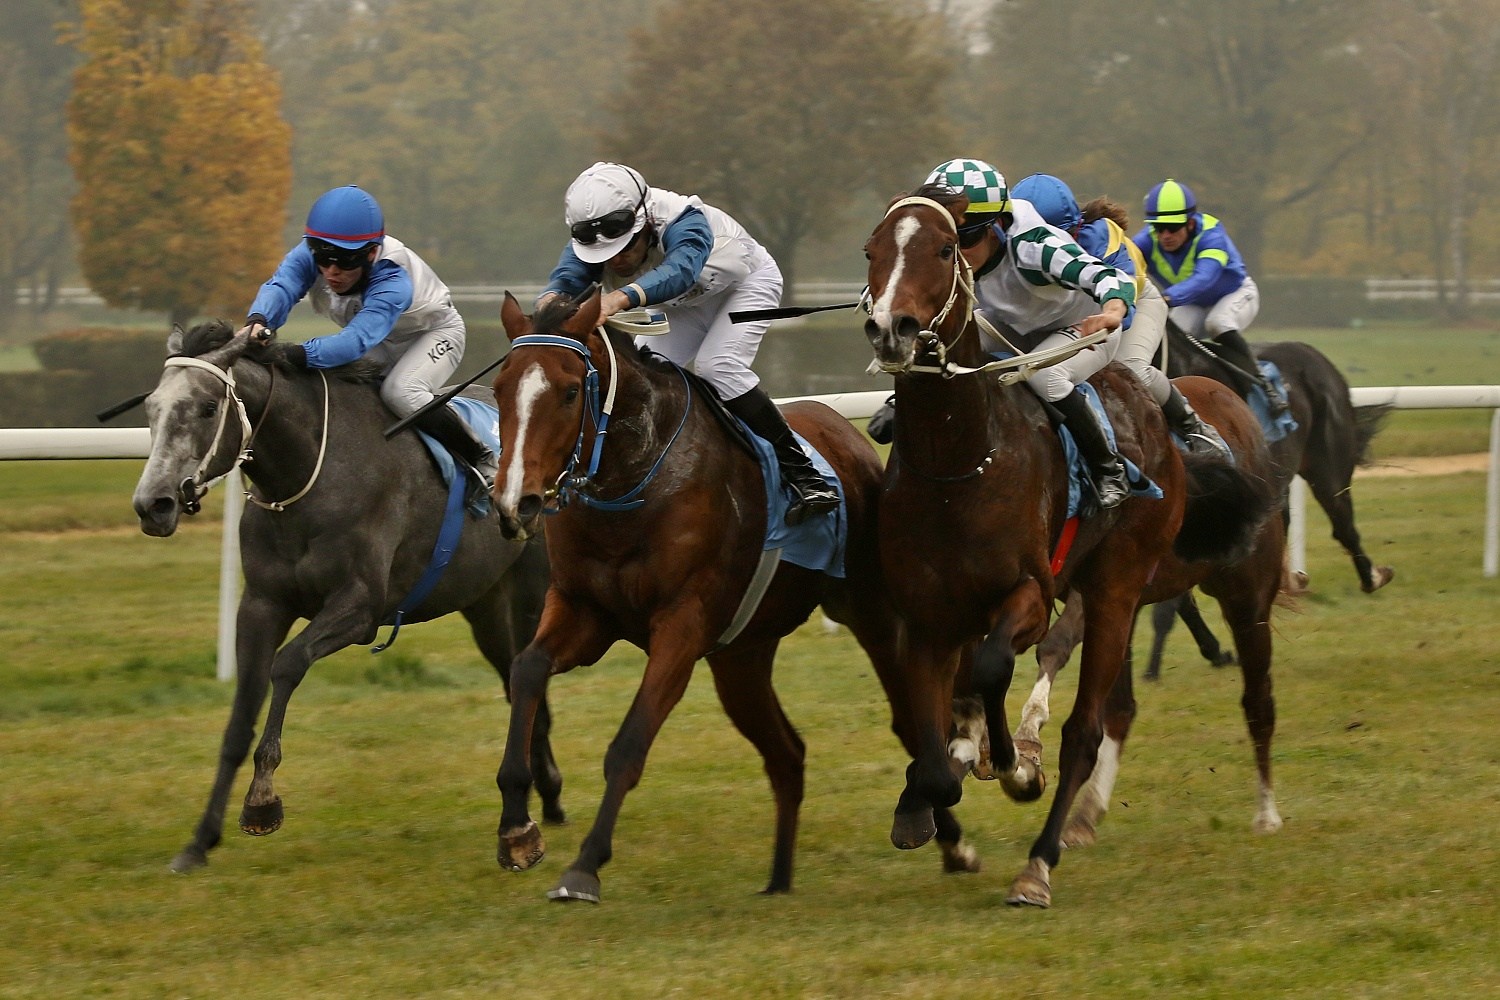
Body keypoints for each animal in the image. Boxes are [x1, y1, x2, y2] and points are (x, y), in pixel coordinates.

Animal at [130, 320, 556, 873]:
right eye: (151, 407)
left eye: (205, 407)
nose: (152, 505)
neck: (307, 475)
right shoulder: (261, 605)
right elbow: (241, 714)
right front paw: (200, 840)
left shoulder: (359, 608)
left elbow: (288, 664)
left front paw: (261, 801)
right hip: (483, 602)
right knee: (515, 683)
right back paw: (544, 798)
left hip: (531, 589)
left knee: (530, 681)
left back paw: (524, 821)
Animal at [487, 288, 909, 904]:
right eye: (499, 388)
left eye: (568, 391)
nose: (516, 504)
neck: (633, 483)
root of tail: (844, 429)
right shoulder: (582, 610)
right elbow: (526, 670)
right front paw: (518, 829)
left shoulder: (682, 625)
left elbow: (629, 743)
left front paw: (584, 867)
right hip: (742, 655)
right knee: (788, 754)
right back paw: (778, 882)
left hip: (870, 611)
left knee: (914, 712)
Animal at [863, 188, 1278, 907]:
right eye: (871, 249)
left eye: (943, 248)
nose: (894, 328)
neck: (958, 465)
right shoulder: (926, 617)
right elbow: (933, 731)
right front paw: (925, 799)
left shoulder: (1032, 593)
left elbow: (996, 667)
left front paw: (1013, 764)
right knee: (1114, 708)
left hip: (1152, 586)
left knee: (1106, 724)